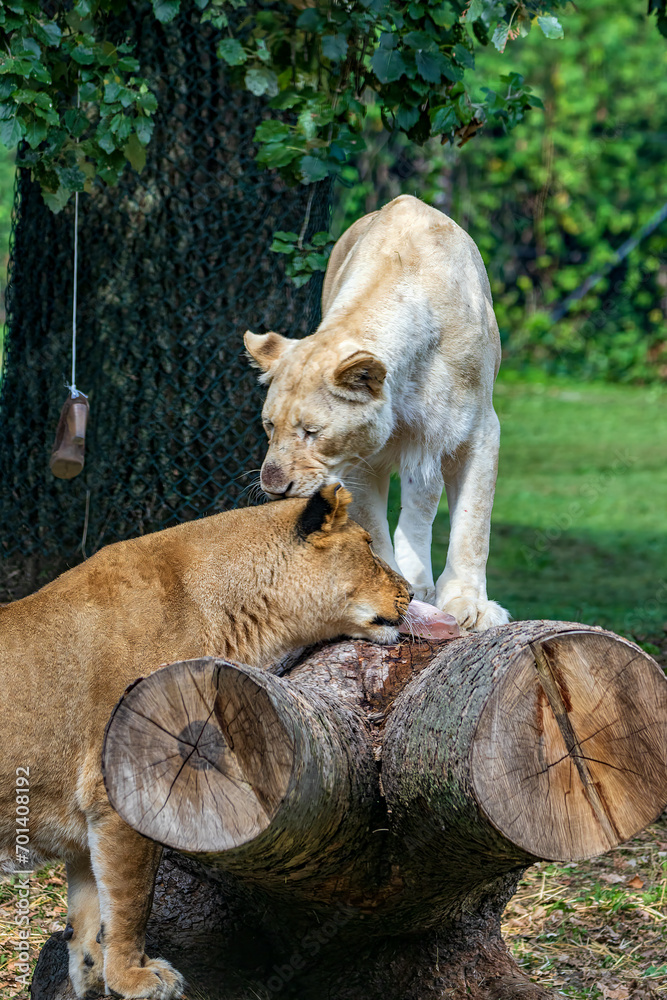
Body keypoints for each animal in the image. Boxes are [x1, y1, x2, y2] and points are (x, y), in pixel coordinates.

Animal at [0, 485, 410, 999]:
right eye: (370, 547)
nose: (412, 593)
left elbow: (91, 915)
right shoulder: (121, 793)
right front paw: (137, 977)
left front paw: (97, 981)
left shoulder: (88, 829)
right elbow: (131, 901)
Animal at [244, 194, 510, 631]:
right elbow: (371, 526)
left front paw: (469, 604)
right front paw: (391, 591)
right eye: (269, 426)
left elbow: (474, 524)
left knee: (423, 500)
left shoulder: (479, 429)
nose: (273, 487)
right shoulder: (355, 457)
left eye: (312, 431)